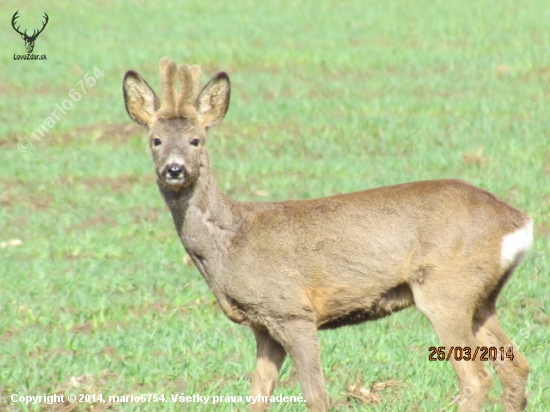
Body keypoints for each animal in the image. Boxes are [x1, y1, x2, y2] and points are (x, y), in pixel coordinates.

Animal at [124, 58, 536, 412]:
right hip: (481, 298)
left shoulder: (292, 310)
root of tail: (518, 222)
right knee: (516, 366)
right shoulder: (263, 326)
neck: (229, 244)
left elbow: (316, 396)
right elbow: (257, 397)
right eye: (155, 140)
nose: (175, 169)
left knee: (476, 378)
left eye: (196, 140)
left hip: (445, 291)